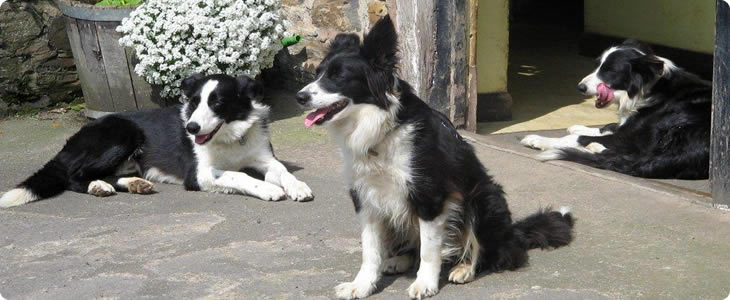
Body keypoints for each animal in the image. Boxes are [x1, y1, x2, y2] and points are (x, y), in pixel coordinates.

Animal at [0, 74, 312, 207]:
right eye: (194, 101)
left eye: (218, 102)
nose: (191, 127)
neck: (231, 137)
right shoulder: (199, 174)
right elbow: (239, 176)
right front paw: (267, 189)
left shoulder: (265, 158)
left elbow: (283, 171)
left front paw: (297, 186)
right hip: (122, 133)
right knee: (74, 177)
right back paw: (97, 186)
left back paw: (133, 184)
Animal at [292, 17, 572, 300]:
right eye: (317, 73)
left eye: (338, 77)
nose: (299, 97)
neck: (381, 130)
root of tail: (513, 232)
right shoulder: (366, 196)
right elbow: (370, 250)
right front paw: (362, 285)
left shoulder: (430, 196)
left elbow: (429, 249)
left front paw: (425, 283)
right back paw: (399, 260)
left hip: (483, 197)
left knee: (491, 252)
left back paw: (465, 268)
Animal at [520, 40, 708, 179]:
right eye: (598, 66)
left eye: (610, 71)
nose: (580, 87)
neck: (649, 87)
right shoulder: (626, 127)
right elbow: (607, 126)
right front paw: (581, 127)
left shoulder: (629, 137)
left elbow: (576, 138)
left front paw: (540, 140)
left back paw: (594, 146)